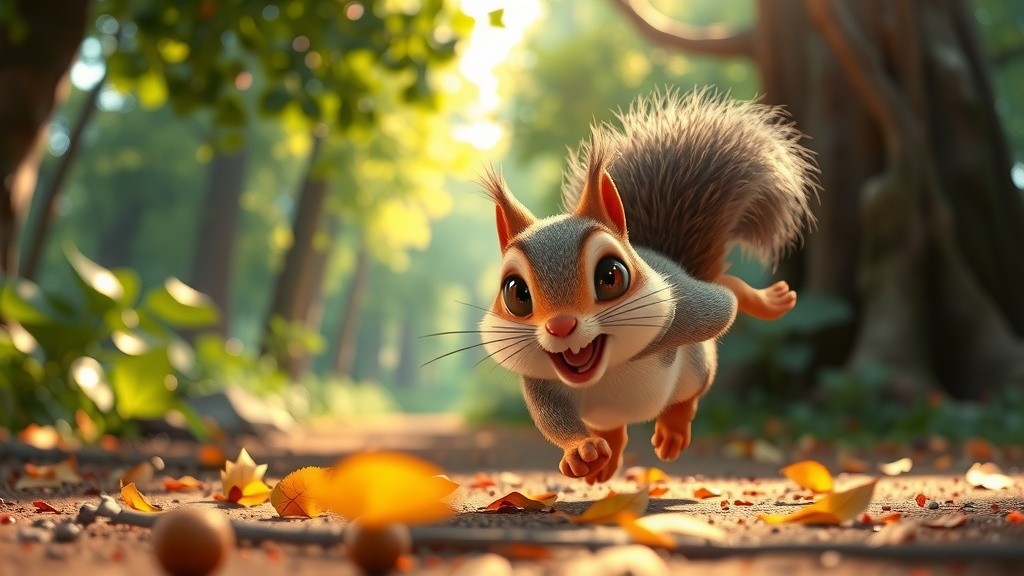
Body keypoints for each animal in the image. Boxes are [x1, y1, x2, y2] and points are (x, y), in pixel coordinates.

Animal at [479, 88, 817, 484]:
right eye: (516, 293)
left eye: (611, 276)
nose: (561, 326)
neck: (606, 369)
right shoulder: (541, 382)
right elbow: (551, 419)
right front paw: (580, 452)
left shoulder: (690, 313)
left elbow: (722, 304)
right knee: (614, 428)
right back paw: (603, 462)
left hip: (696, 361)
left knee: (702, 361)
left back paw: (674, 428)